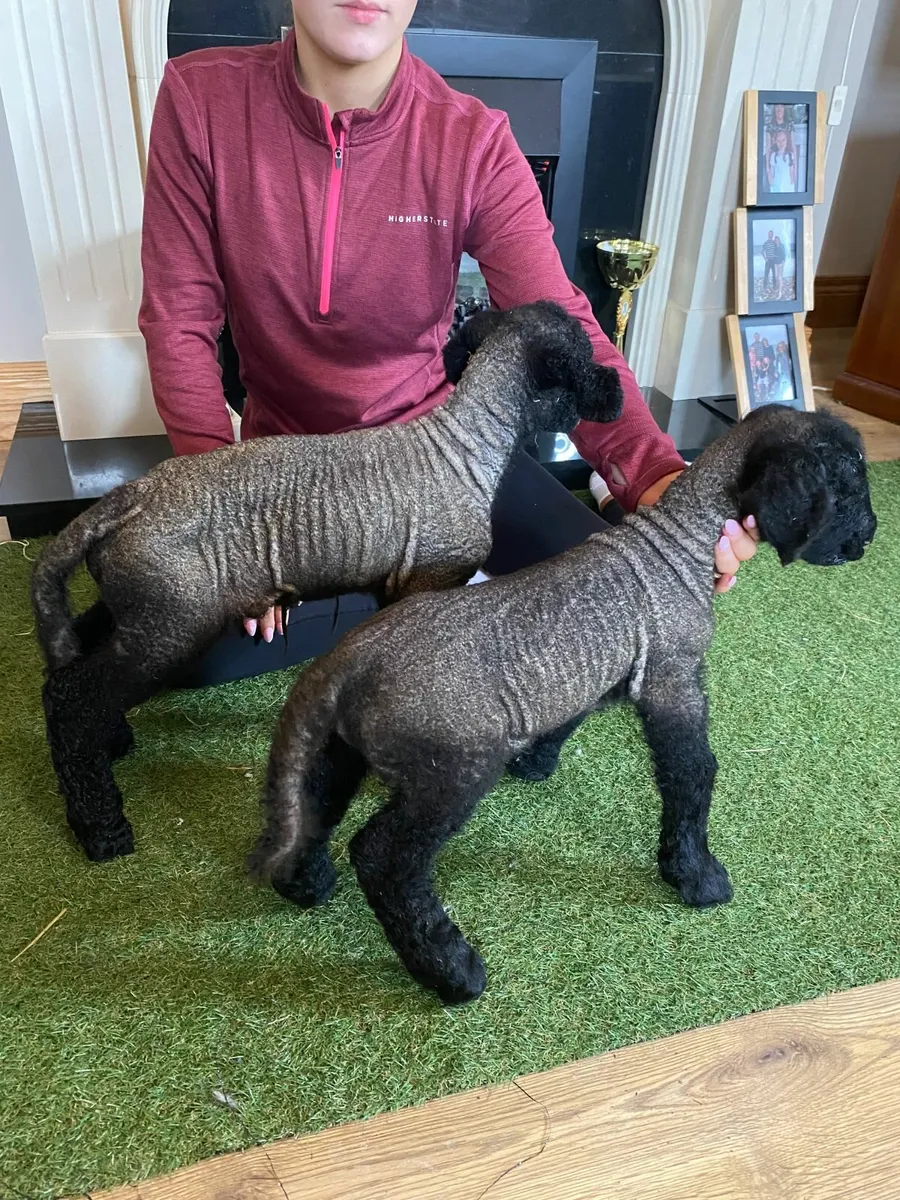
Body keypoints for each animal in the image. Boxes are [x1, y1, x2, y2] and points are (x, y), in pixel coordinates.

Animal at [30, 301, 623, 862]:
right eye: (583, 355)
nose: (618, 390)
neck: (464, 447)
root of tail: (125, 500)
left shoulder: (396, 592)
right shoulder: (432, 582)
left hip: (136, 607)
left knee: (70, 667)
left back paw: (111, 743)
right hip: (172, 622)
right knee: (74, 698)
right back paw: (100, 827)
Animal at [249, 404, 877, 1005]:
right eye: (844, 483)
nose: (870, 536)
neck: (681, 543)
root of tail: (343, 664)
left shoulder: (597, 674)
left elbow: (570, 716)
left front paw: (537, 761)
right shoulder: (673, 681)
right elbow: (694, 774)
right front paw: (697, 876)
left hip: (339, 750)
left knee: (314, 809)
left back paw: (305, 885)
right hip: (450, 768)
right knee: (384, 857)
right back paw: (452, 971)